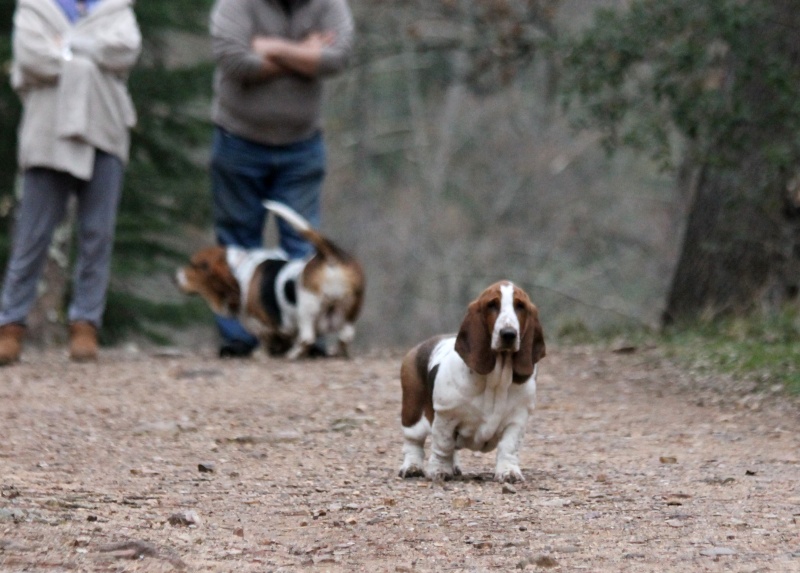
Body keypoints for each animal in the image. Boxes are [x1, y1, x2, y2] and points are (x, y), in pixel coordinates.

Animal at [177, 202, 366, 358]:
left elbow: (266, 339)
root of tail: (329, 255)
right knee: (346, 335)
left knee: (307, 338)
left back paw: (293, 354)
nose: (175, 277)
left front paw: (261, 353)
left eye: (193, 265)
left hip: (307, 308)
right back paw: (336, 352)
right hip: (351, 306)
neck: (239, 268)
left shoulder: (262, 324)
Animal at [398, 282, 548, 482]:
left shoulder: (517, 419)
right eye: (492, 305)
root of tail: (420, 345)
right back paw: (412, 468)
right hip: (413, 414)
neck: (496, 379)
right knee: (413, 443)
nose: (508, 334)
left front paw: (508, 472)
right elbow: (443, 446)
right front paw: (439, 470)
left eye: (520, 306)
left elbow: (508, 448)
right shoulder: (446, 417)